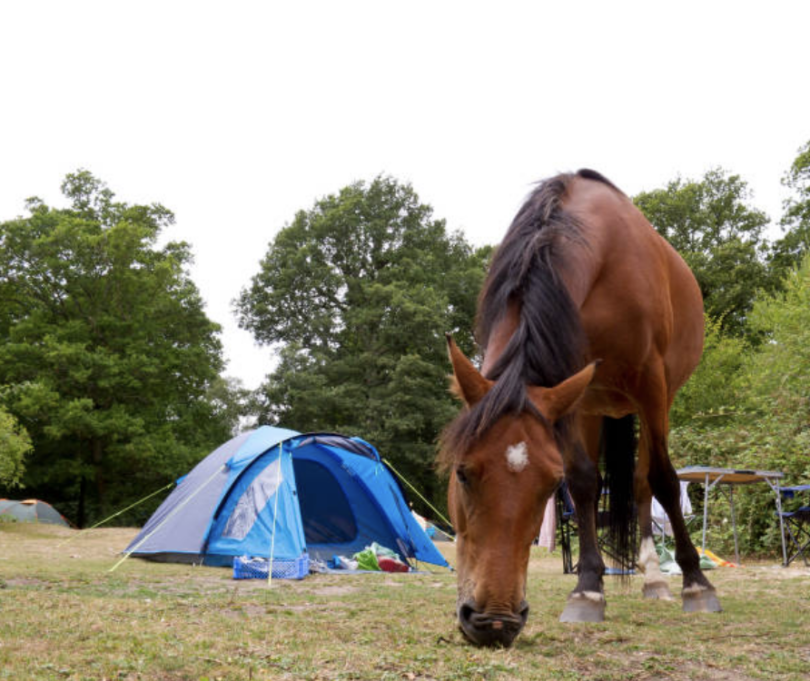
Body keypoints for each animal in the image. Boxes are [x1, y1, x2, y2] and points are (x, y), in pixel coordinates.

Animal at [439, 169, 720, 648]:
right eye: (462, 472)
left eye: (548, 485)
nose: (495, 622)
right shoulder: (569, 394)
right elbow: (585, 482)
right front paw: (588, 589)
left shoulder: (652, 385)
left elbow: (664, 481)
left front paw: (697, 583)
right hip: (593, 405)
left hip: (653, 401)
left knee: (645, 482)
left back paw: (656, 578)